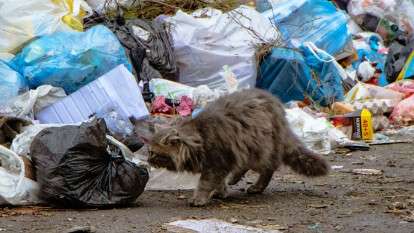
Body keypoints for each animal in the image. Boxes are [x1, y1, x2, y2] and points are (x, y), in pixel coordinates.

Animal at [141, 88, 328, 207]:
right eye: (149, 152)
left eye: (153, 153)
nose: (148, 160)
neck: (199, 137)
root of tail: (278, 107)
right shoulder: (221, 163)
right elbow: (218, 182)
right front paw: (221, 191)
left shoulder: (217, 162)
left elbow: (205, 183)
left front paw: (199, 198)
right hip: (249, 150)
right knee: (247, 167)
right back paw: (235, 179)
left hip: (260, 149)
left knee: (268, 168)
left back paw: (256, 187)